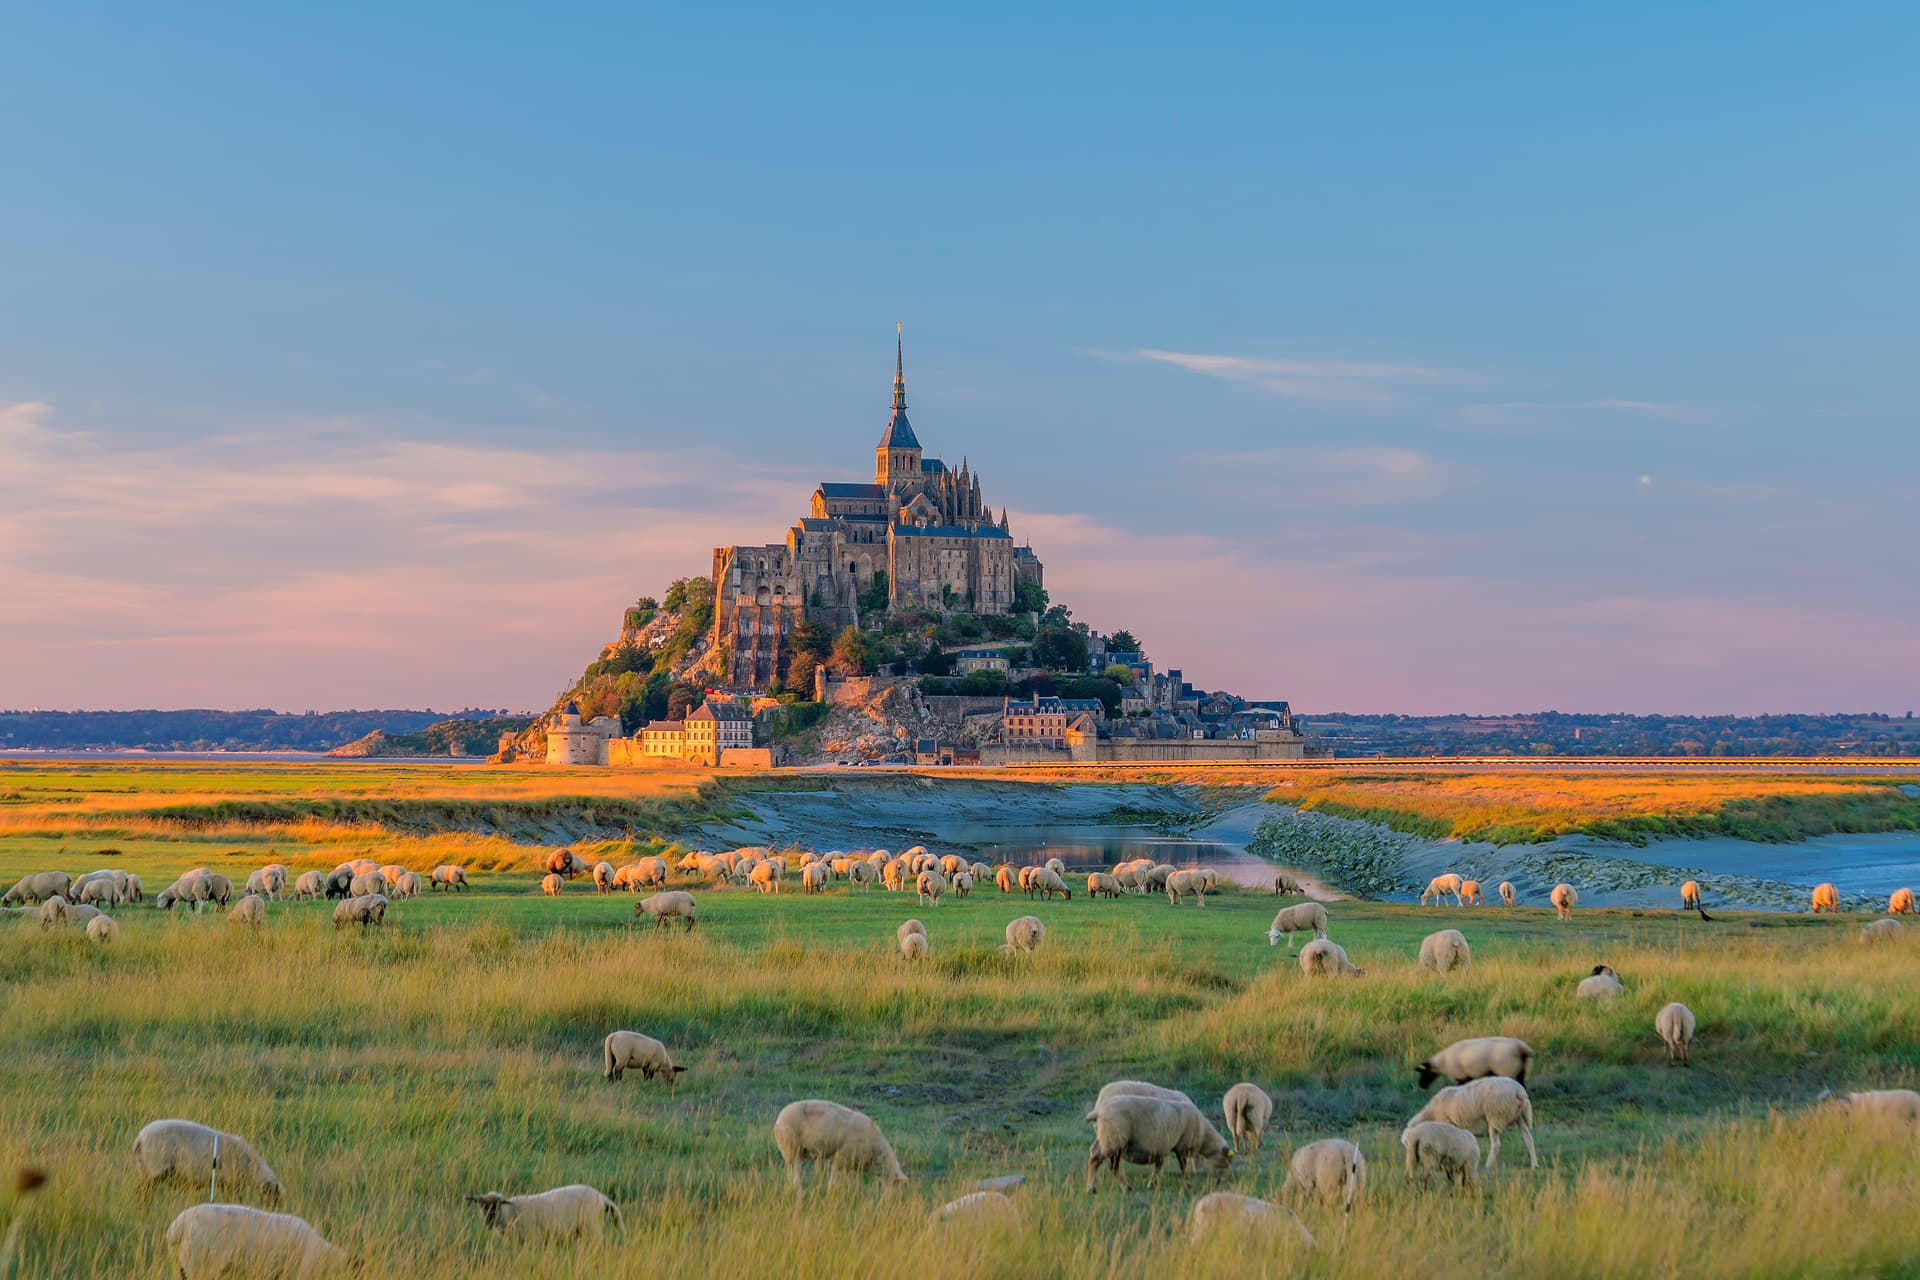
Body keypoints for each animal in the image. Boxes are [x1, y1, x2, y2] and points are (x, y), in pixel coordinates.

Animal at [134, 1120, 283, 1202]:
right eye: (275, 1198)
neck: (252, 1168)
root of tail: (140, 1138)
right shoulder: (230, 1183)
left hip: (144, 1170)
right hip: (154, 1169)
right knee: (143, 1193)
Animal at [465, 1185, 625, 1241]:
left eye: (497, 1205)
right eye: (481, 1206)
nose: (488, 1221)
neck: (509, 1212)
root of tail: (602, 1197)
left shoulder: (535, 1237)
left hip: (593, 1227)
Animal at [772, 1100, 906, 1189]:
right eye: (897, 1186)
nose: (888, 1202)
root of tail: (779, 1118)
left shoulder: (849, 1162)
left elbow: (847, 1179)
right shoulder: (842, 1156)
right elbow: (834, 1177)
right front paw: (832, 1190)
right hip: (791, 1147)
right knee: (794, 1170)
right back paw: (796, 1186)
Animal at [1084, 1094, 1233, 1191]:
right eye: (1227, 1161)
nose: (1221, 1183)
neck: (1203, 1135)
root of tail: (1098, 1112)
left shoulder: (1161, 1149)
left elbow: (1158, 1166)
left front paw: (1152, 1184)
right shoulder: (1181, 1146)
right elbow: (1183, 1168)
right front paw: (1188, 1185)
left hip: (1107, 1139)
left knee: (1100, 1158)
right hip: (1114, 1139)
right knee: (1099, 1162)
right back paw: (1095, 1188)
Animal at [1406, 1076, 1538, 1169]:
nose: (1411, 1161)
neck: (1431, 1114)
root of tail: (1518, 1090)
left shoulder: (1446, 1123)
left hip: (1495, 1115)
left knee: (1496, 1144)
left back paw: (1488, 1166)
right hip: (1521, 1116)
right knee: (1529, 1139)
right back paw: (1534, 1164)